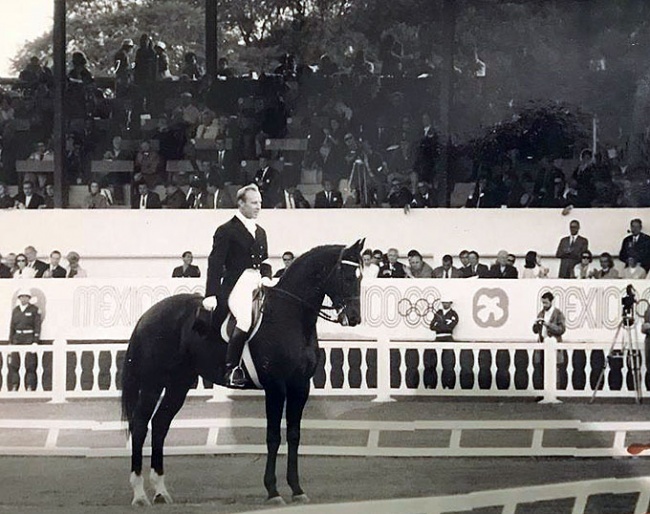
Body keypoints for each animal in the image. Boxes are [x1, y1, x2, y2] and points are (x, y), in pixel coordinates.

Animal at [120, 239, 364, 504]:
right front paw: (273, 491)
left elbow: (294, 435)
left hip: (178, 384)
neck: (291, 315)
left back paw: (161, 491)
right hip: (153, 383)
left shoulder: (300, 386)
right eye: (346, 276)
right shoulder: (275, 386)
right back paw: (139, 494)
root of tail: (148, 315)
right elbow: (273, 436)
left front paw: (297, 490)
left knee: (160, 425)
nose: (354, 318)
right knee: (141, 425)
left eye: (360, 277)